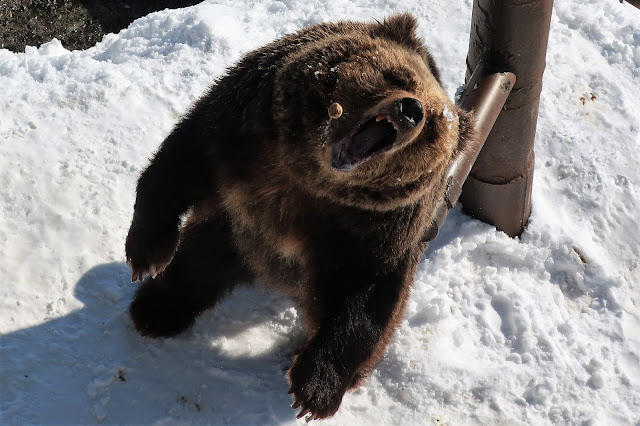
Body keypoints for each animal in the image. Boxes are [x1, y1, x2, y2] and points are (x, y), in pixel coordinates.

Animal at [126, 12, 476, 420]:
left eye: (435, 123)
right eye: (399, 76)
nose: (411, 110)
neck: (310, 178)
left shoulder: (374, 230)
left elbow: (367, 298)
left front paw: (313, 392)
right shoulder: (245, 131)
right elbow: (180, 161)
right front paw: (148, 254)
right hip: (234, 229)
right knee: (197, 263)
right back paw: (155, 309)